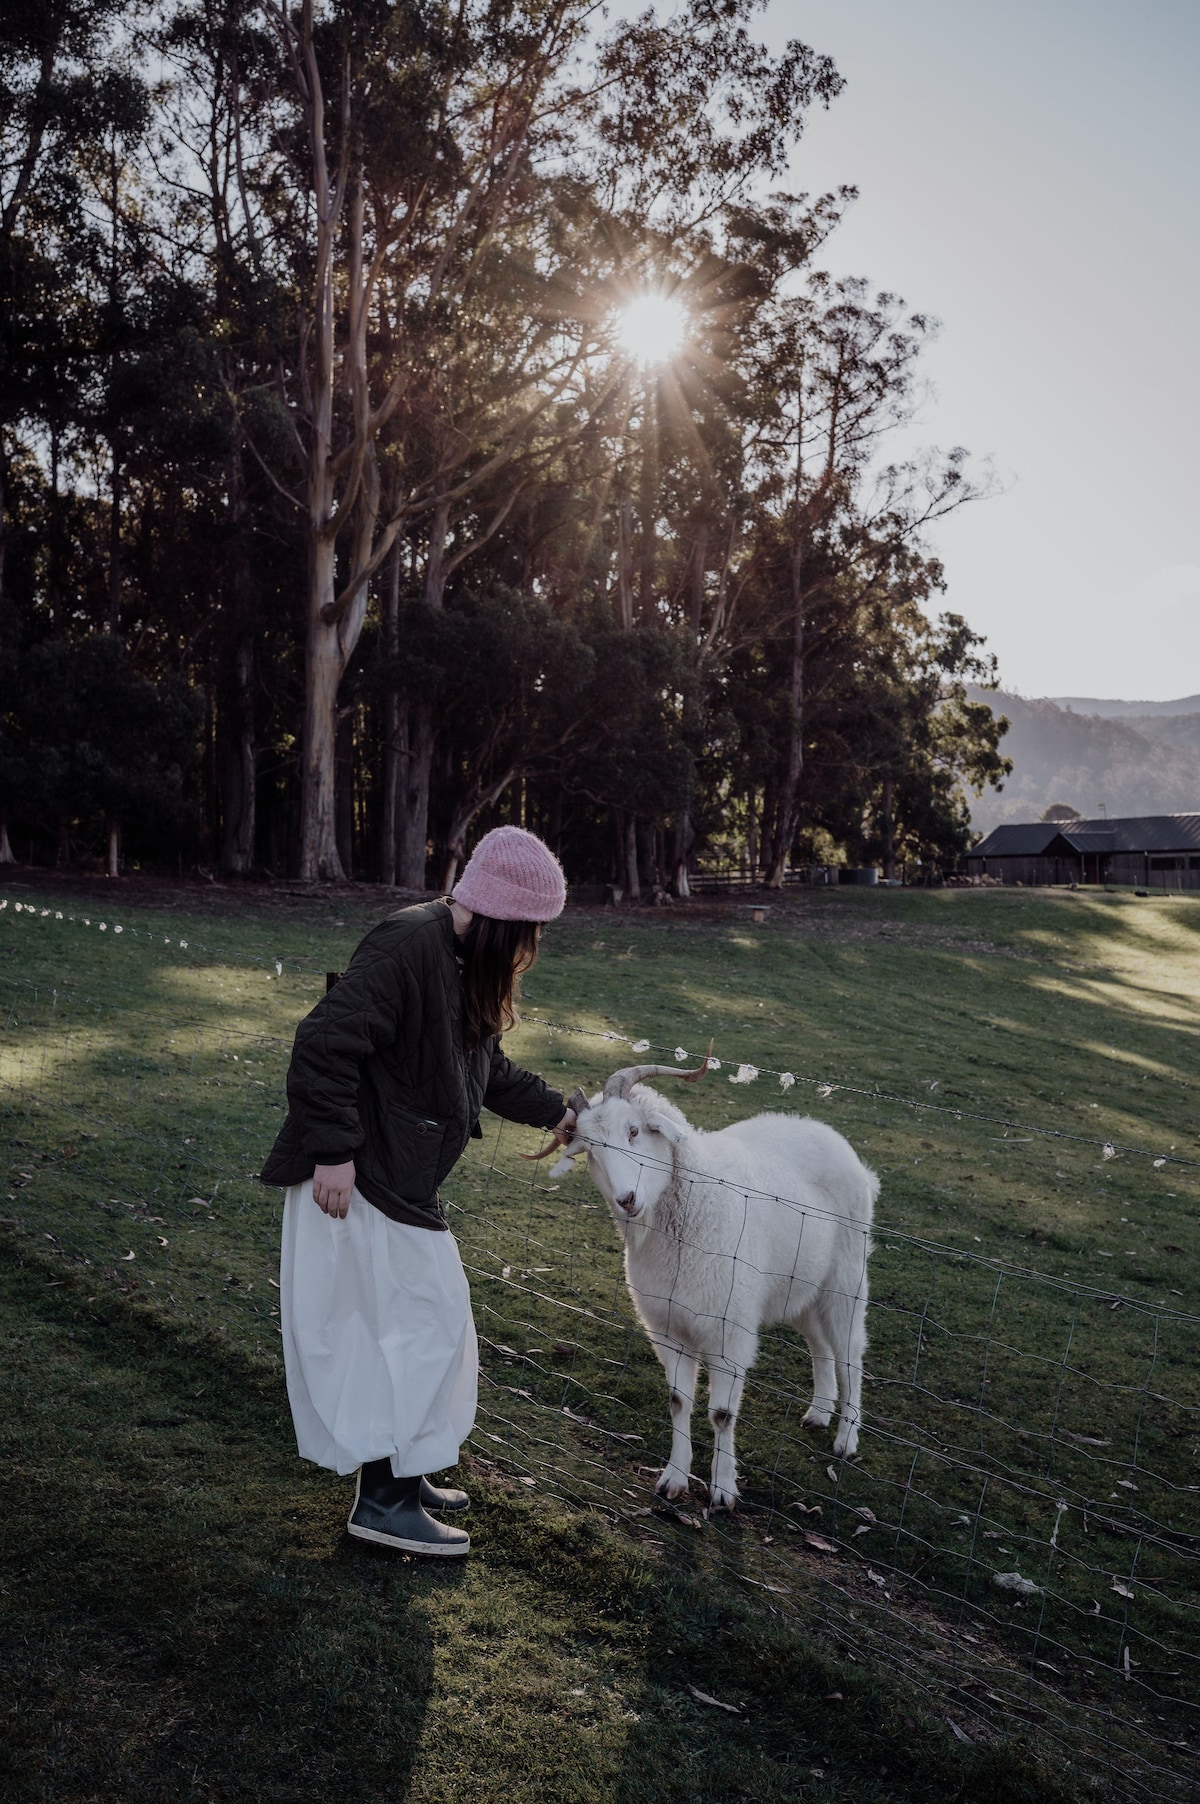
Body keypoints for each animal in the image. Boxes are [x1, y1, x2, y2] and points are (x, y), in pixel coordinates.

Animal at [546, 1059, 877, 1510]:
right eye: (591, 1152)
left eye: (634, 1131)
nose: (626, 1200)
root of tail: (826, 1133)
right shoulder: (667, 1327)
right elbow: (678, 1401)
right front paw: (674, 1478)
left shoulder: (730, 1332)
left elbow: (722, 1414)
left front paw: (722, 1490)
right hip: (798, 1288)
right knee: (820, 1346)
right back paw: (819, 1413)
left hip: (845, 1281)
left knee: (850, 1356)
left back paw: (846, 1438)